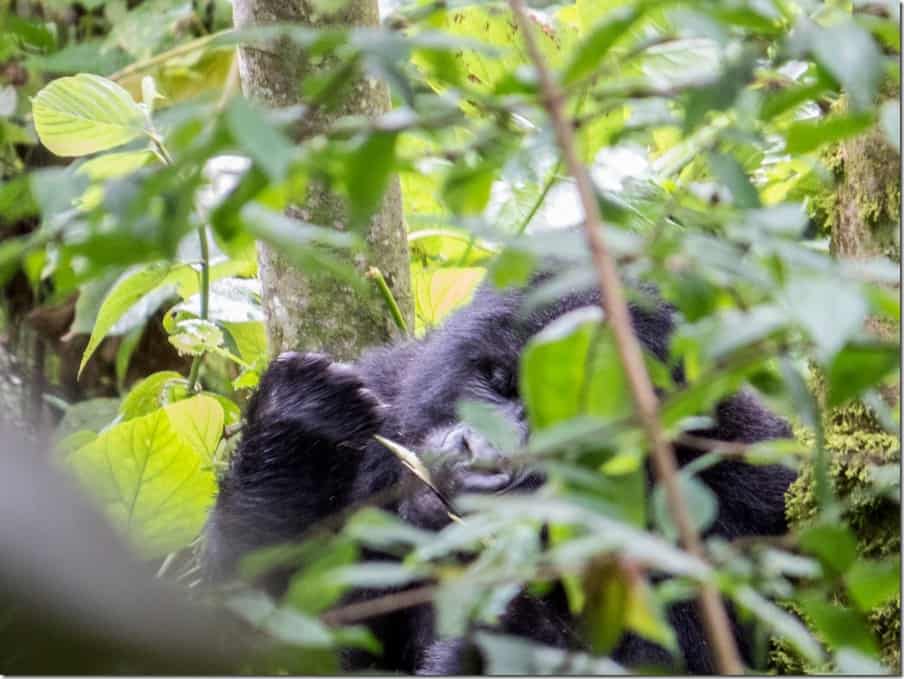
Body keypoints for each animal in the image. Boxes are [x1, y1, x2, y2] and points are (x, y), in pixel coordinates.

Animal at [205, 270, 800, 676]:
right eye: (498, 381)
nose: (483, 453)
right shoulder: (393, 383)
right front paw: (296, 433)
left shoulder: (753, 489)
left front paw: (503, 629)